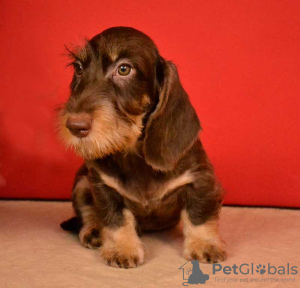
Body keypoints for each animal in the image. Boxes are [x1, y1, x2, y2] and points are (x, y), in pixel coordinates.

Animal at [58, 26, 226, 268]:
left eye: (124, 69)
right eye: (78, 68)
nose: (75, 126)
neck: (134, 154)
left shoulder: (200, 179)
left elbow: (199, 215)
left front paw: (205, 244)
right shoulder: (102, 186)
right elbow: (115, 219)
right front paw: (122, 248)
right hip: (81, 182)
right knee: (87, 212)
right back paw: (93, 231)